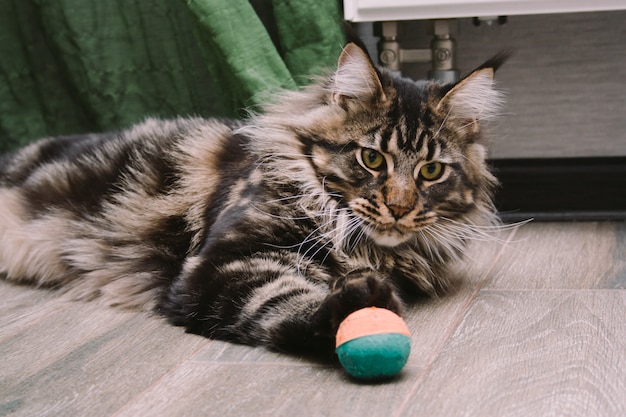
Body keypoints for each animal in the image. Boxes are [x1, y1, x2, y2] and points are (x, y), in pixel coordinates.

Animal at [0, 43, 508, 358]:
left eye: (431, 171)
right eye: (371, 159)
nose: (400, 208)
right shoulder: (222, 263)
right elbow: (279, 302)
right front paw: (359, 301)